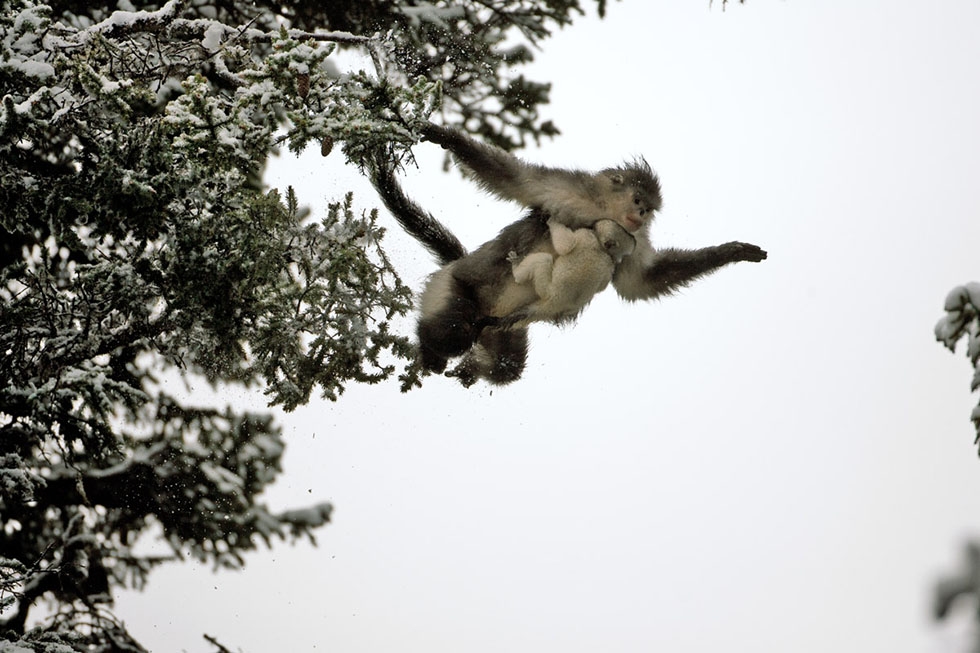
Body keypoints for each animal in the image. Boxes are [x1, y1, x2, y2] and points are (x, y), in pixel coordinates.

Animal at [368, 125, 764, 384]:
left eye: (648, 208)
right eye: (637, 200)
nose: (639, 214)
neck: (604, 213)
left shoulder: (634, 238)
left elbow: (639, 282)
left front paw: (733, 252)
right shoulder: (571, 192)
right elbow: (515, 179)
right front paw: (442, 135)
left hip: (500, 327)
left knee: (507, 364)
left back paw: (472, 369)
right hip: (455, 287)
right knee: (453, 329)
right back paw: (431, 352)